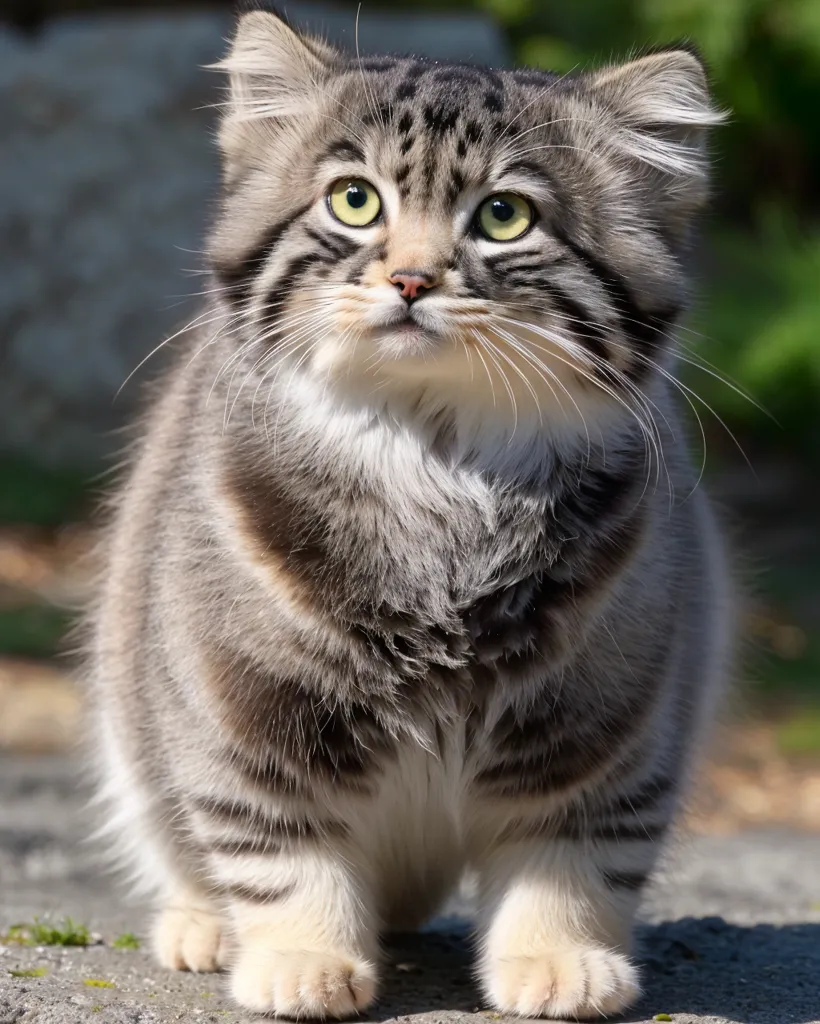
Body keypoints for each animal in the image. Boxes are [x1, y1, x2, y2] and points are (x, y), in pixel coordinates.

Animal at [86, 4, 732, 1019]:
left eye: (504, 216)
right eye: (355, 201)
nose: (412, 279)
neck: (436, 469)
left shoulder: (607, 729)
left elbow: (568, 865)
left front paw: (558, 960)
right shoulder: (244, 715)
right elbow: (283, 852)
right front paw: (302, 959)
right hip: (134, 712)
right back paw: (202, 927)